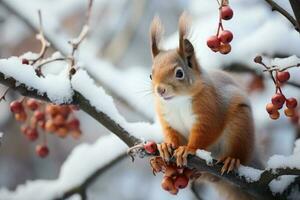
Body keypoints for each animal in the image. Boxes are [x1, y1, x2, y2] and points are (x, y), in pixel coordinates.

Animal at [149, 13, 253, 174]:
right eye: (150, 76)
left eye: (179, 73)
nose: (160, 90)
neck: (177, 101)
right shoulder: (168, 120)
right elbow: (172, 136)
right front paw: (166, 146)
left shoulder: (209, 111)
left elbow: (205, 133)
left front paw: (187, 149)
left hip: (240, 126)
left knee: (240, 153)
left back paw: (231, 160)